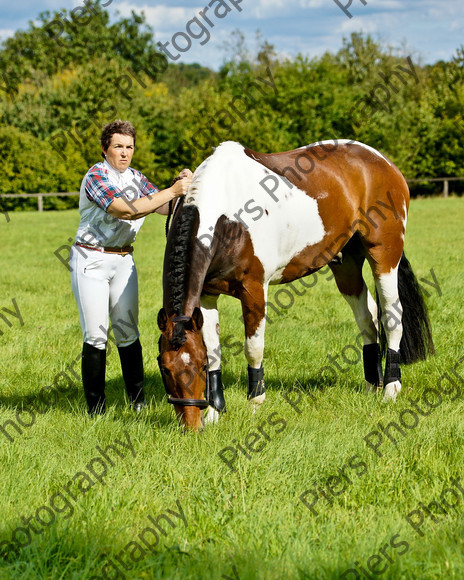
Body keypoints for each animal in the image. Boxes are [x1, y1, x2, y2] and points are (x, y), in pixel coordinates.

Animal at [158, 140, 434, 430]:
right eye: (165, 368)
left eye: (198, 367)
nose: (191, 424)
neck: (227, 214)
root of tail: (383, 162)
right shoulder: (207, 296)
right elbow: (214, 349)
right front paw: (214, 412)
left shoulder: (254, 290)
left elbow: (253, 348)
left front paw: (255, 404)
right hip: (345, 264)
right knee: (368, 317)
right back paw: (372, 385)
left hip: (384, 256)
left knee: (392, 316)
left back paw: (391, 389)